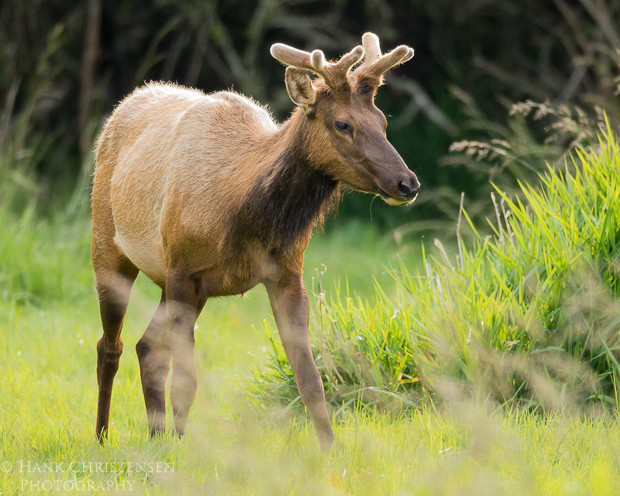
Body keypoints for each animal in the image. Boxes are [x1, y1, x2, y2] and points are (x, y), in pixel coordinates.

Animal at [92, 30, 418, 450]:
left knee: (146, 347)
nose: (407, 183)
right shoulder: (183, 269)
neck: (241, 213)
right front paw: (181, 450)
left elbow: (311, 379)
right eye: (343, 123)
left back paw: (155, 435)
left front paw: (330, 450)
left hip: (175, 283)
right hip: (110, 248)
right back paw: (103, 436)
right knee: (110, 346)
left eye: (382, 121)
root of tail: (122, 107)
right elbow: (186, 382)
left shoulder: (286, 274)